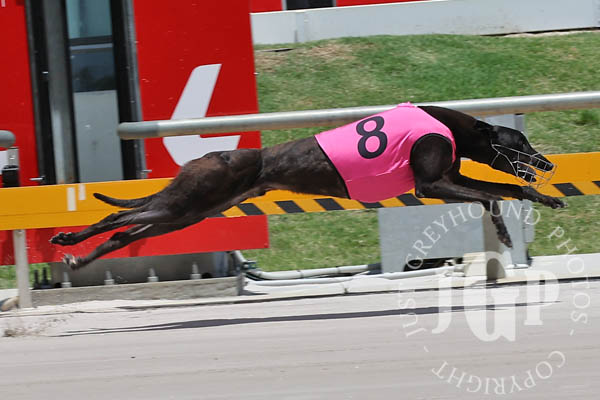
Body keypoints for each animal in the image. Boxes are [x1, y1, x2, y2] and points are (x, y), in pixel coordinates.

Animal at [51, 103, 565, 270]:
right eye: (520, 143)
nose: (547, 163)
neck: (453, 126)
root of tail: (204, 156)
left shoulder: (450, 178)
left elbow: (511, 191)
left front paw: (546, 196)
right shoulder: (430, 183)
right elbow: (492, 196)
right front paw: (504, 234)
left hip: (189, 212)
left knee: (125, 232)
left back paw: (79, 257)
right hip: (184, 203)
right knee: (119, 215)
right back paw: (68, 239)